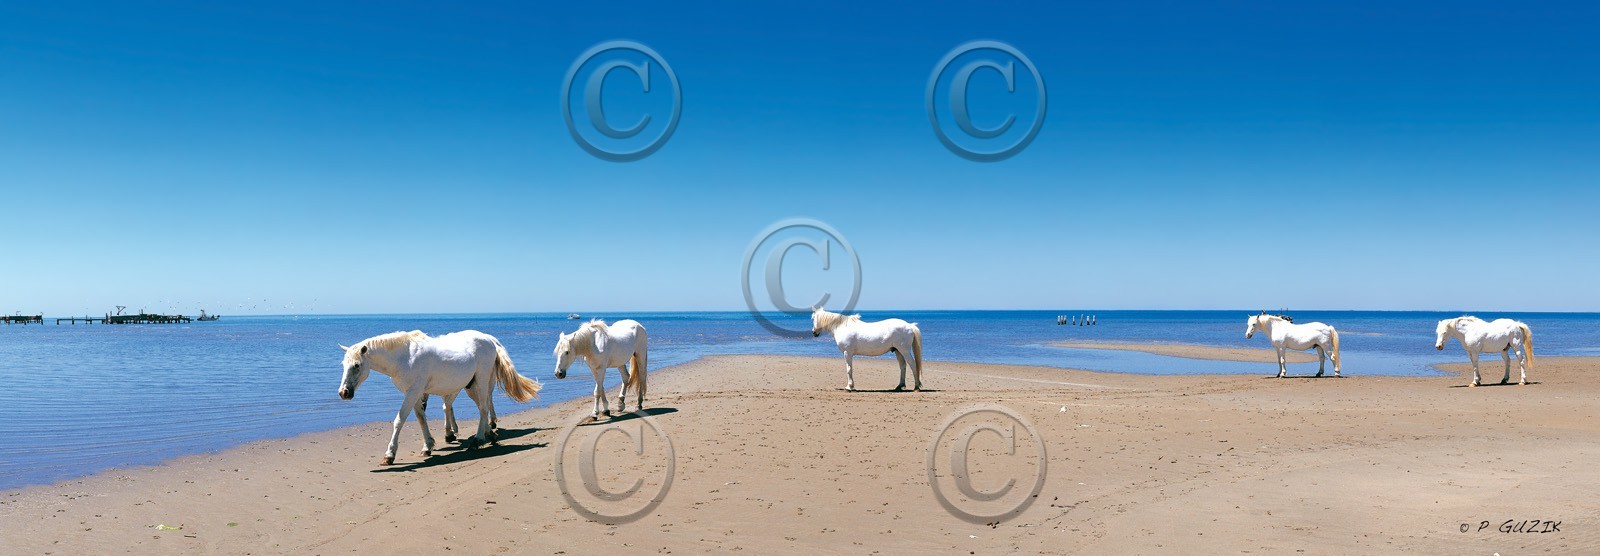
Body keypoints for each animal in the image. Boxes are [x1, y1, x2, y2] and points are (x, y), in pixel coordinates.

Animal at [338, 330, 541, 465]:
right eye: (343, 364)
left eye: (356, 365)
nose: (343, 393)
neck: (405, 357)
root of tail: (490, 340)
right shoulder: (414, 393)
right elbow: (421, 418)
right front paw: (428, 446)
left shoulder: (413, 392)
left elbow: (399, 420)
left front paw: (389, 455)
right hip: (471, 386)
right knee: (481, 408)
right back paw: (489, 435)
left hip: (482, 382)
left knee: (484, 408)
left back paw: (477, 440)